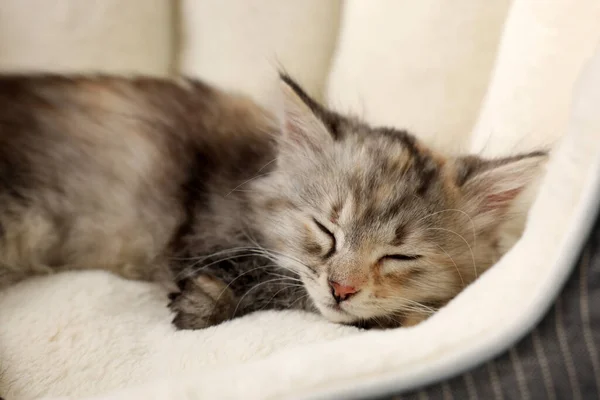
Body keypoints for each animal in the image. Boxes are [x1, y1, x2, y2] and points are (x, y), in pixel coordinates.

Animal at [0, 73, 548, 330]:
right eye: (326, 231)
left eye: (399, 256)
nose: (342, 289)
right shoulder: (204, 237)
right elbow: (279, 284)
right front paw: (201, 304)